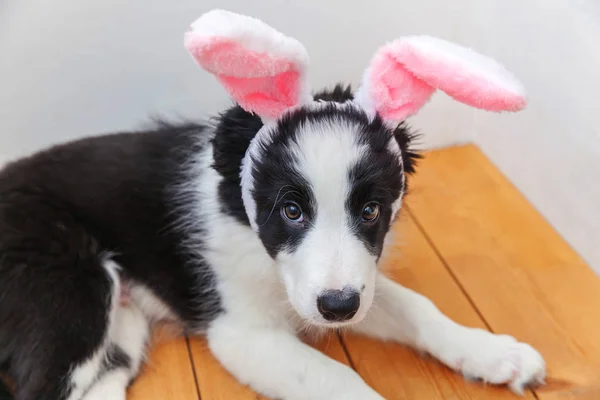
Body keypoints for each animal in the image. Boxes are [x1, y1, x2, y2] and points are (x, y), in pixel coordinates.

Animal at [0, 9, 544, 400]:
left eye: (371, 210)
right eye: (291, 210)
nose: (338, 308)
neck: (251, 234)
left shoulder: (351, 281)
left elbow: (415, 306)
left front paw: (494, 352)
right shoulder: (242, 333)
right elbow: (338, 380)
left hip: (122, 332)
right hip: (70, 293)